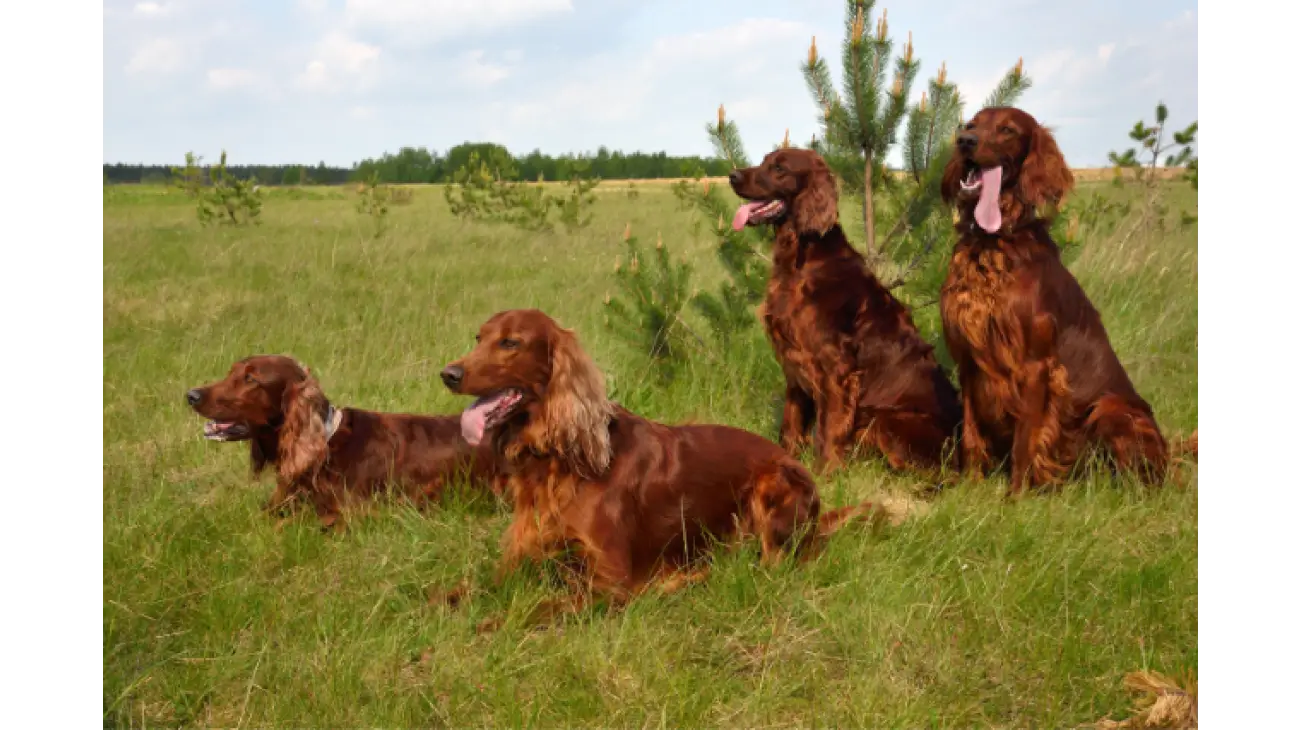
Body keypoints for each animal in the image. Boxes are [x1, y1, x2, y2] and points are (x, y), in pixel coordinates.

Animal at [436, 309, 883, 623]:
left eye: (510, 342)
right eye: (479, 338)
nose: (448, 373)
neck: (559, 460)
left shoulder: (610, 582)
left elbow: (537, 608)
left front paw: (492, 624)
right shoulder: (519, 559)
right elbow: (468, 586)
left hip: (773, 484)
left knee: (773, 569)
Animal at [733, 150, 967, 475]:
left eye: (779, 168)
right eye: (765, 160)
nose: (732, 176)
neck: (803, 256)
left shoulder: (836, 367)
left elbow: (828, 428)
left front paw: (826, 473)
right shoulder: (794, 363)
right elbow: (791, 423)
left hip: (885, 419)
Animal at [935, 106, 1180, 493]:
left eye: (1007, 129)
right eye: (972, 124)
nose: (965, 141)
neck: (993, 243)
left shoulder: (1036, 367)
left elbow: (1025, 440)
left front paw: (1015, 496)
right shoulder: (970, 360)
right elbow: (971, 435)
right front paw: (968, 487)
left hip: (1110, 409)